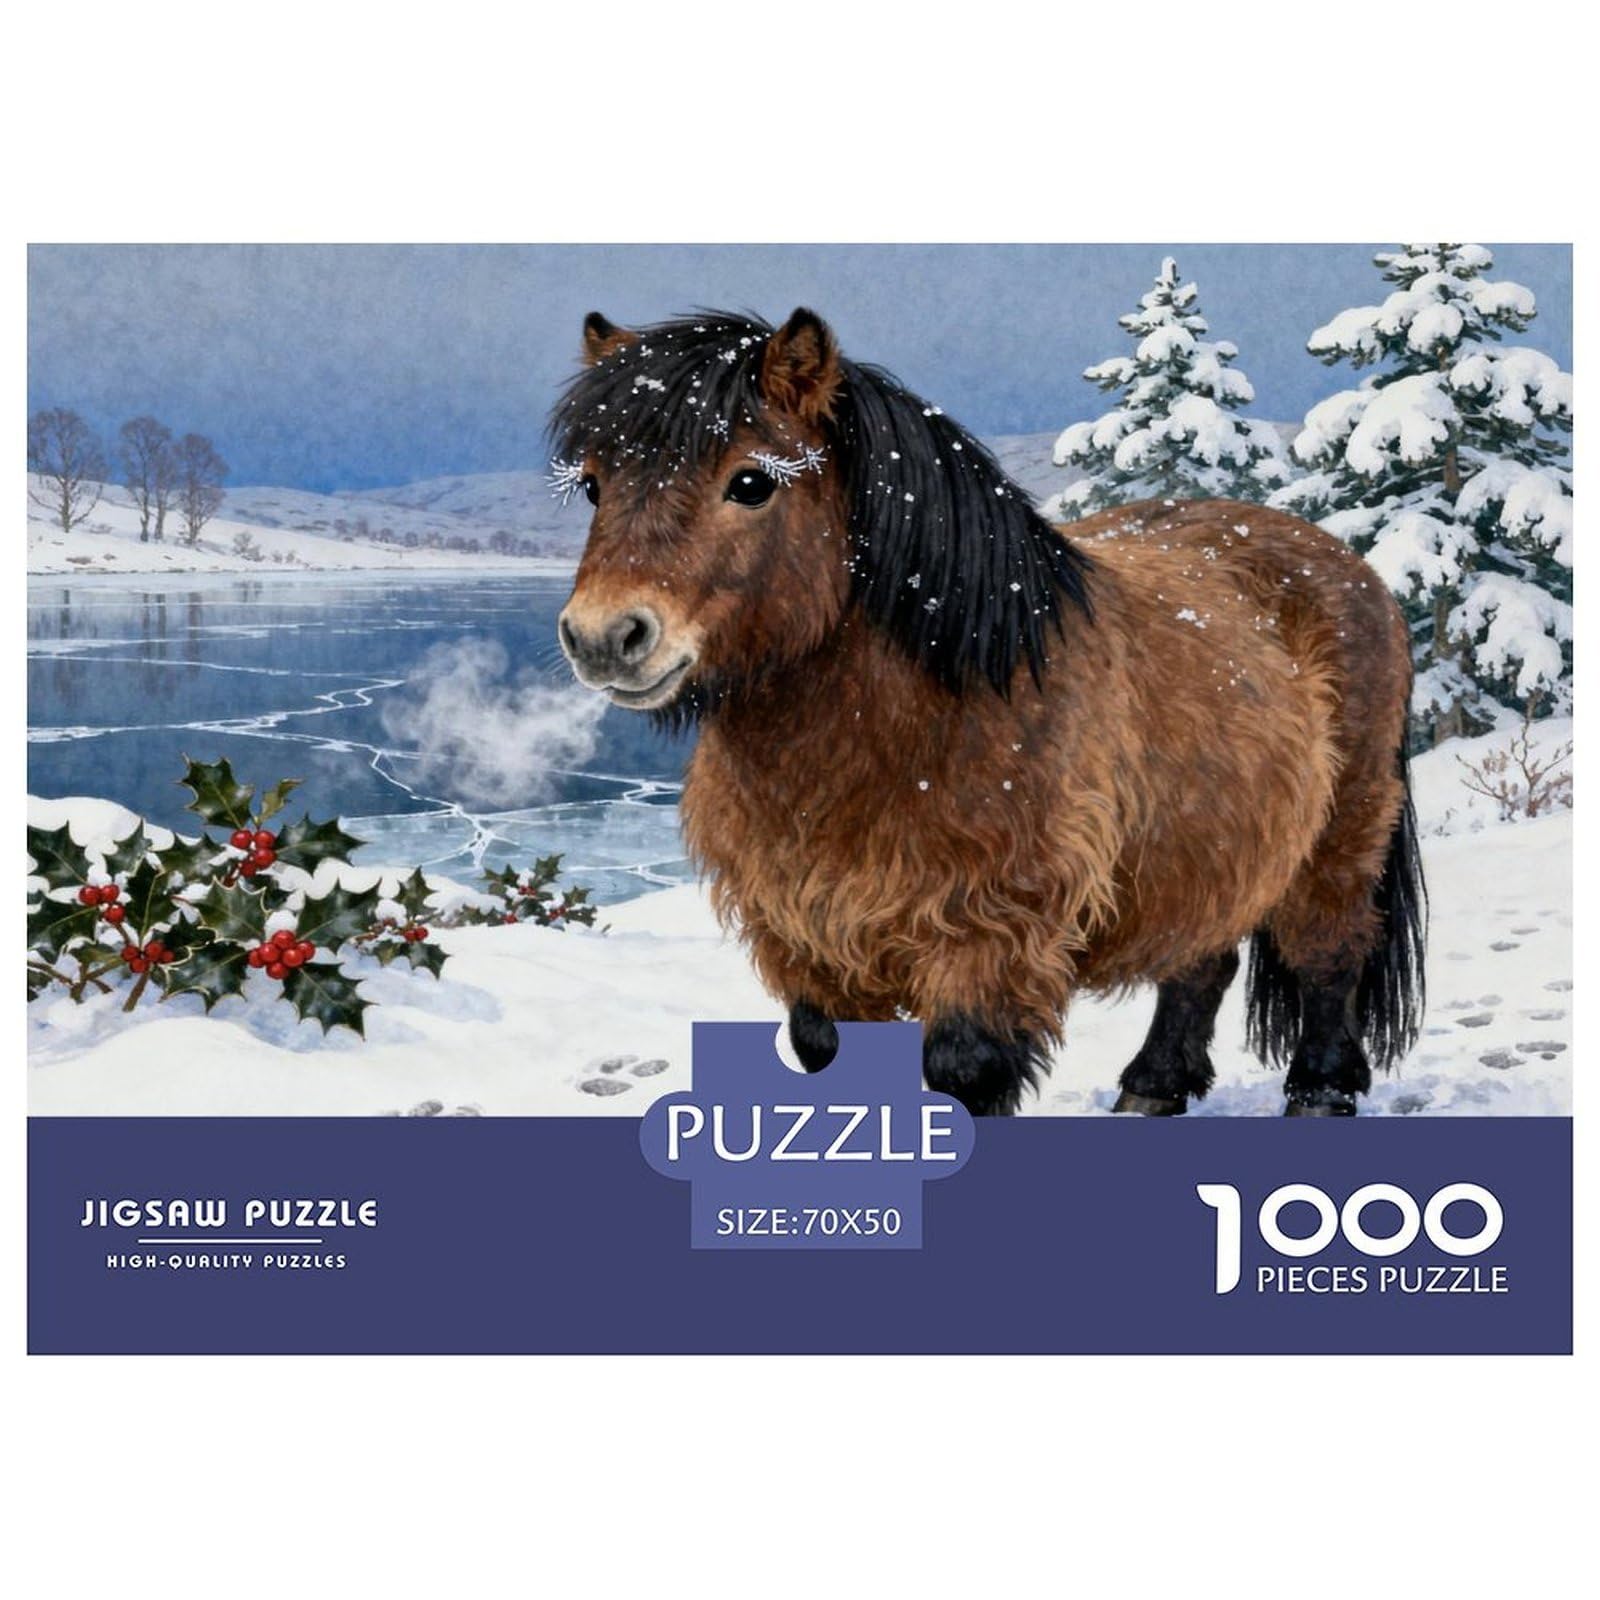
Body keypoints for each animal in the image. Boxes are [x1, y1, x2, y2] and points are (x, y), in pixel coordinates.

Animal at [551, 307, 1425, 1117]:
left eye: (751, 481)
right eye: (593, 484)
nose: (604, 636)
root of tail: (1346, 565)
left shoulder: (988, 937)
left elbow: (965, 1071)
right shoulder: (811, 939)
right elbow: (827, 1056)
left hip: (1342, 831)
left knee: (1327, 950)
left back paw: (1320, 1089)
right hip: (1203, 848)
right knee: (1201, 958)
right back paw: (1153, 1086)